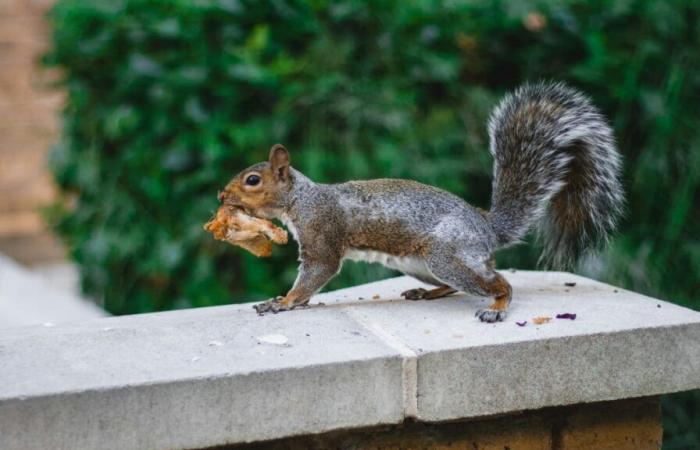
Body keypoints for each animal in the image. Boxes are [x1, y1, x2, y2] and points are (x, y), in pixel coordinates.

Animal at [217, 81, 624, 320]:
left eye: (252, 180)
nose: (222, 195)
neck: (303, 199)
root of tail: (485, 226)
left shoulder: (322, 233)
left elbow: (317, 272)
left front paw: (283, 301)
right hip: (421, 263)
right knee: (460, 282)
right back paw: (427, 292)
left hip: (447, 254)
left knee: (499, 282)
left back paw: (497, 305)